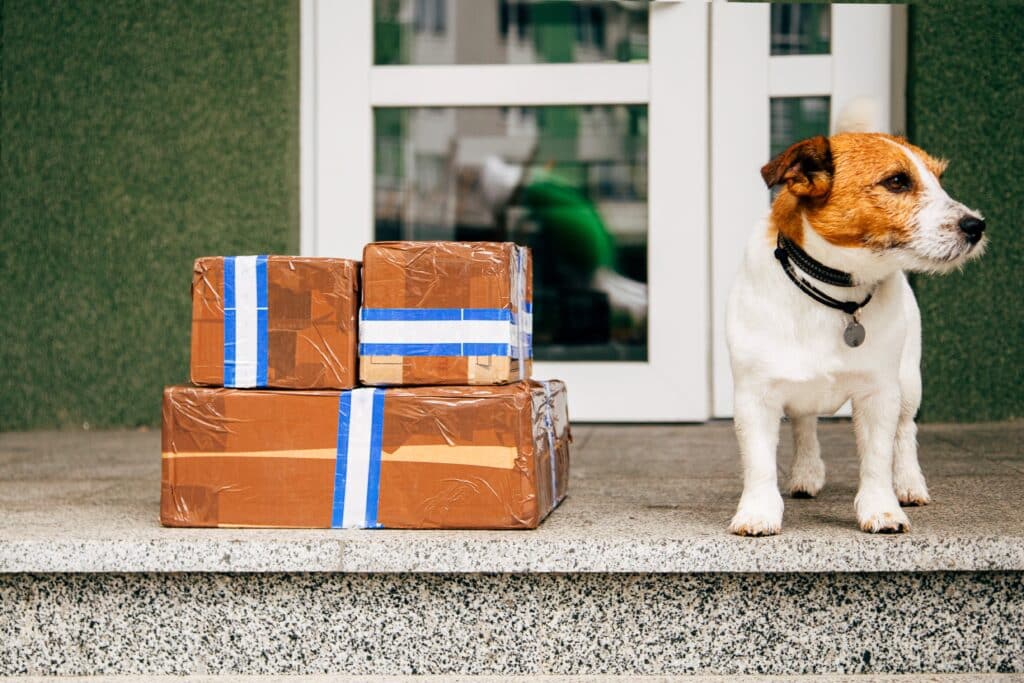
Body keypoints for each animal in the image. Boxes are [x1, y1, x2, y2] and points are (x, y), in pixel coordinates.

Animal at [729, 131, 983, 536]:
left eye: (939, 179)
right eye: (897, 181)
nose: (977, 226)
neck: (833, 291)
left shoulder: (879, 393)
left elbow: (878, 458)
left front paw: (882, 509)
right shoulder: (755, 396)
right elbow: (759, 464)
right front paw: (757, 512)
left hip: (908, 380)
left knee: (905, 432)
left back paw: (909, 483)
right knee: (804, 423)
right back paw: (806, 473)